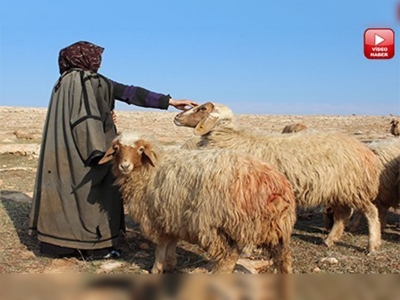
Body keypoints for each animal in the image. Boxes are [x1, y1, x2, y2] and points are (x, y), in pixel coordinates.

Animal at [98, 132, 296, 274]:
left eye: (140, 149)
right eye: (116, 148)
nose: (125, 166)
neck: (150, 168)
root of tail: (273, 184)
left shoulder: (159, 214)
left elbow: (161, 245)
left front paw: (157, 268)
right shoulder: (172, 216)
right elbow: (170, 242)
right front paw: (169, 264)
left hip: (215, 223)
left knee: (229, 256)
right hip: (275, 227)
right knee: (283, 257)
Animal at [174, 102, 382, 252]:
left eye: (202, 108)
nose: (176, 116)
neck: (232, 139)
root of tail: (365, 151)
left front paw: (247, 249)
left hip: (353, 187)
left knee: (371, 212)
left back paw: (372, 245)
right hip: (340, 190)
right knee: (342, 216)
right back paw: (329, 240)